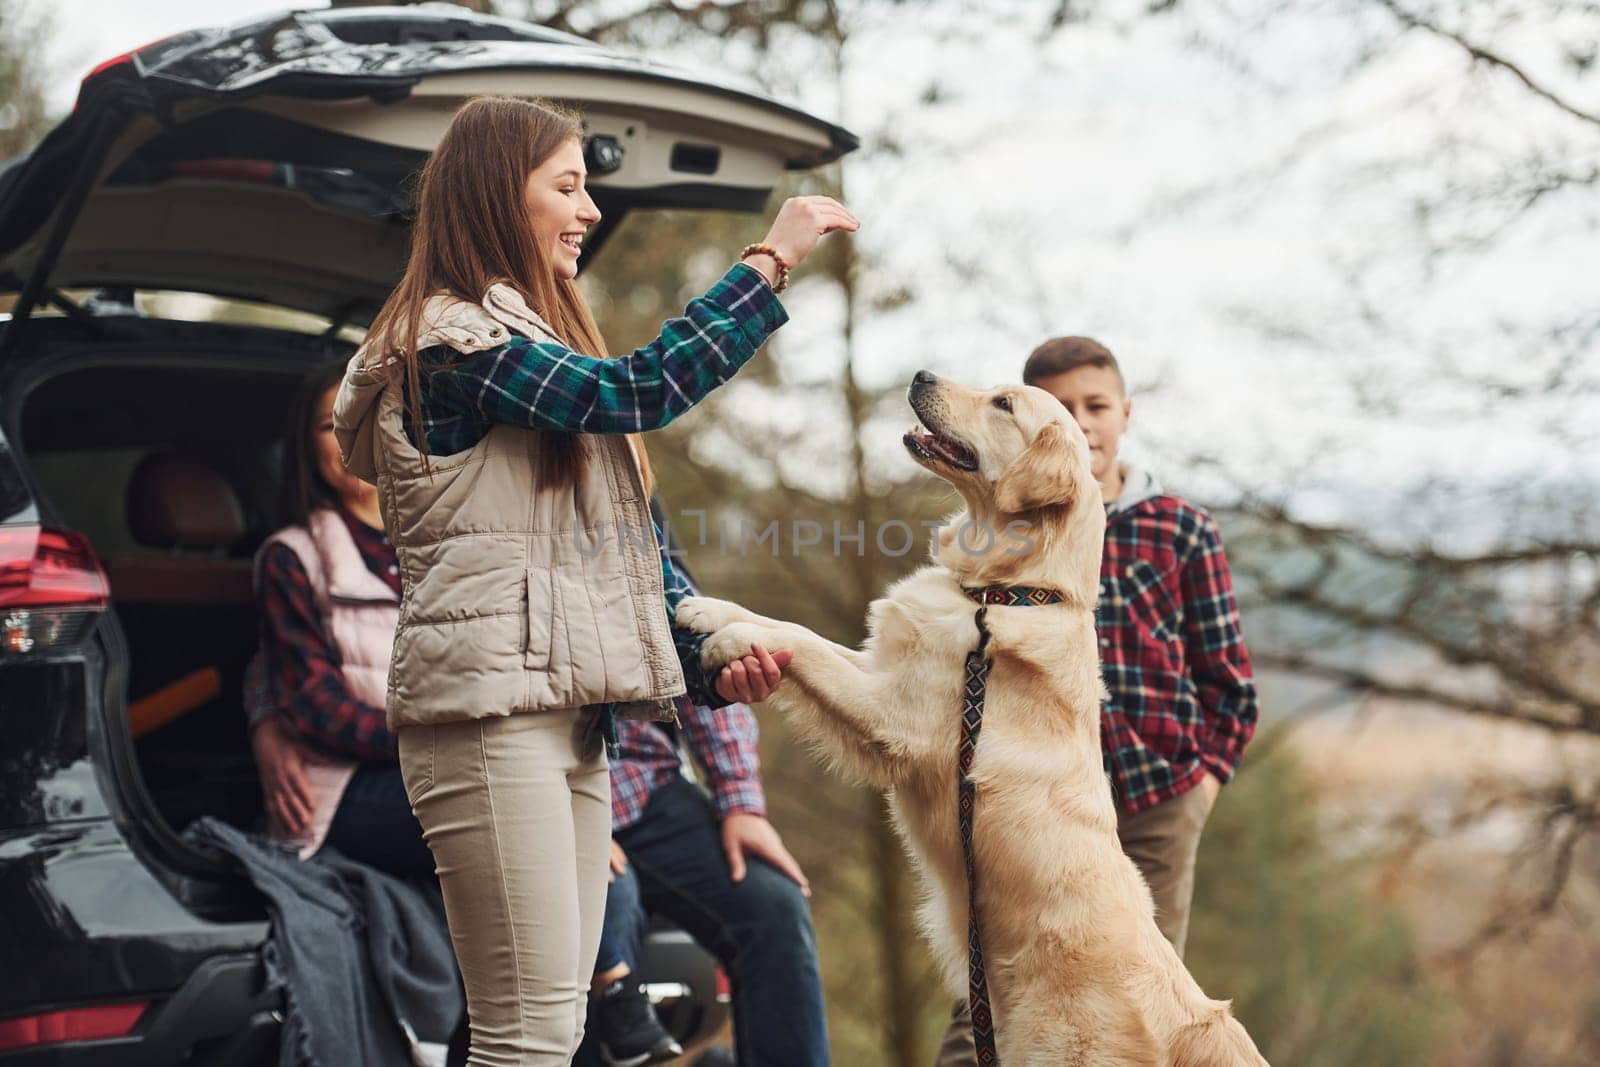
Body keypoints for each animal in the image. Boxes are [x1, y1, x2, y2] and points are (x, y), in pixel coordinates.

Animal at [675, 371, 1260, 1062]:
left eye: (1003, 403)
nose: (921, 375)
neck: (1003, 594)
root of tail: (1193, 1016)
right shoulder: (883, 668)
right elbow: (795, 629)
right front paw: (711, 609)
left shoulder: (894, 716)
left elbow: (804, 643)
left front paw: (729, 643)